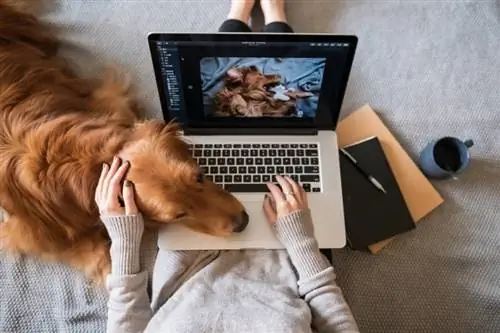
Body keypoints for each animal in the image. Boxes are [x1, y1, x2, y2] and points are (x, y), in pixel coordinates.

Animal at [0, 1, 248, 282]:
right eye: (179, 215)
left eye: (200, 176)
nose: (243, 222)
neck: (86, 161)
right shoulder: (31, 233)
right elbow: (102, 260)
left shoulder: (111, 101)